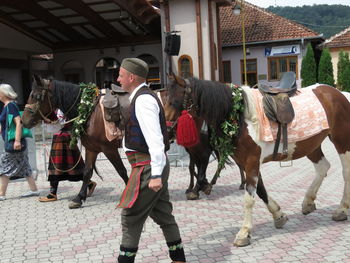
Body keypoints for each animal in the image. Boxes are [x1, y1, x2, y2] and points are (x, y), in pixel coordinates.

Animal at [21, 75, 129, 209]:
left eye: (36, 96)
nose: (23, 120)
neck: (89, 111)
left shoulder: (109, 149)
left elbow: (121, 170)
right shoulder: (91, 148)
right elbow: (87, 172)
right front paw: (79, 198)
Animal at [166, 76, 350, 248]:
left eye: (172, 102)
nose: (166, 133)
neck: (239, 116)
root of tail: (340, 93)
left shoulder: (252, 161)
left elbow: (249, 199)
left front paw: (244, 233)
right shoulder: (247, 163)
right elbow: (261, 191)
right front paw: (278, 215)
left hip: (341, 141)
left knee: (345, 172)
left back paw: (341, 209)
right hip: (311, 145)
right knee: (323, 167)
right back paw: (308, 202)